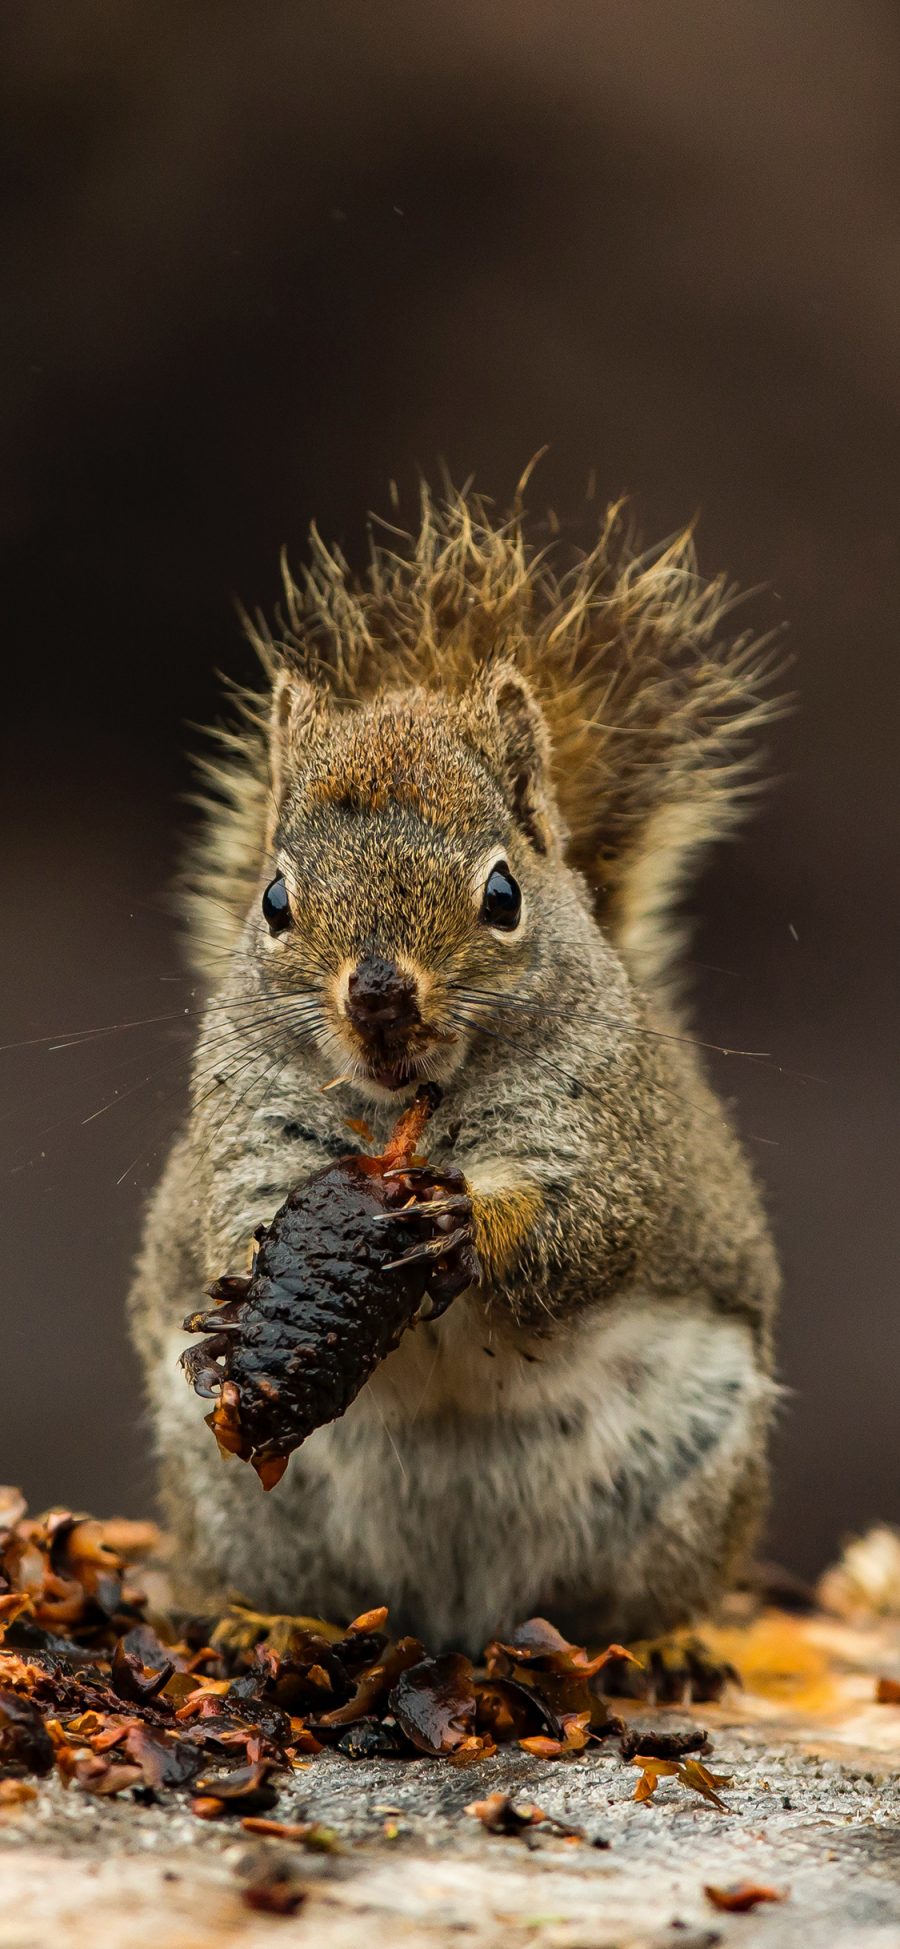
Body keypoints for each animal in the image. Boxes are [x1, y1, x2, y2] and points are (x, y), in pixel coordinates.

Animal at [126, 483, 779, 1644]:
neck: (408, 1114)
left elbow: (587, 1229)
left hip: (683, 1477)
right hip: (239, 1506)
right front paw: (239, 1306)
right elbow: (237, 1209)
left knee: (631, 1598)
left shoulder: (612, 1134)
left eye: (504, 894)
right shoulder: (247, 1132)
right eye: (274, 898)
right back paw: (265, 1623)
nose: (380, 992)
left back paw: (654, 1644)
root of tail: (450, 1609)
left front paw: (470, 1225)